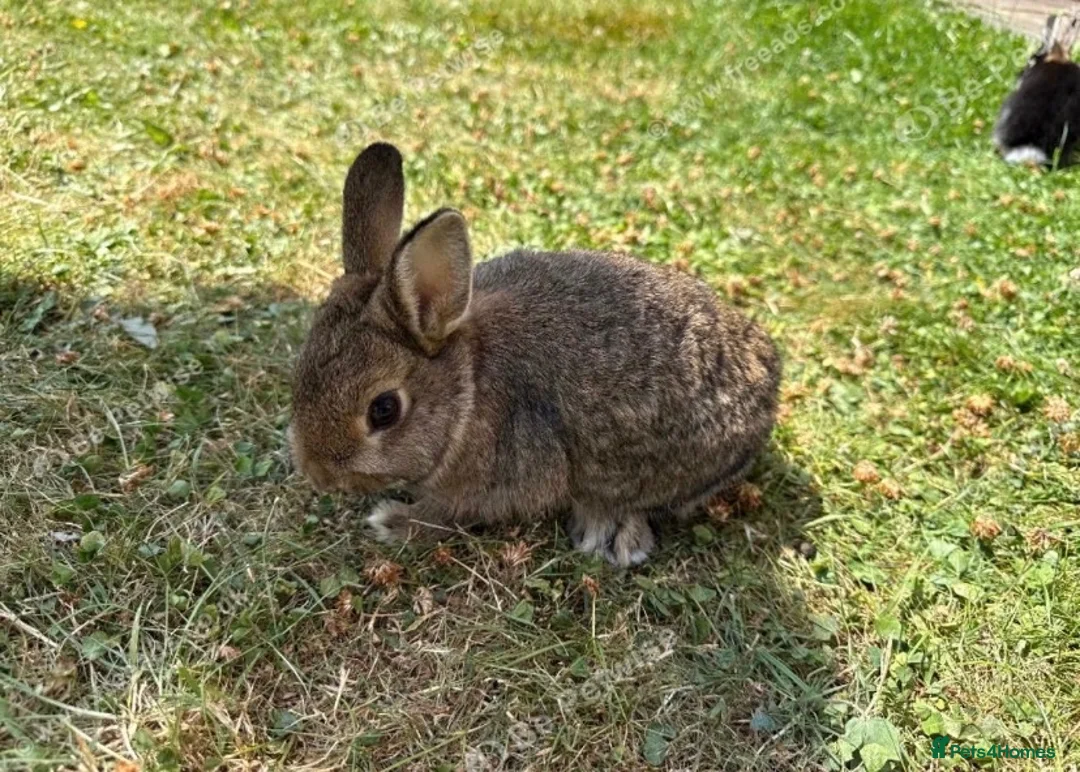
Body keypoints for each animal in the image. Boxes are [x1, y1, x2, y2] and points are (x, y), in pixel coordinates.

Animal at [288, 142, 781, 567]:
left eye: (384, 410)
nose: (318, 475)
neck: (467, 389)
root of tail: (769, 373)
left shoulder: (497, 485)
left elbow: (448, 515)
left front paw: (393, 522)